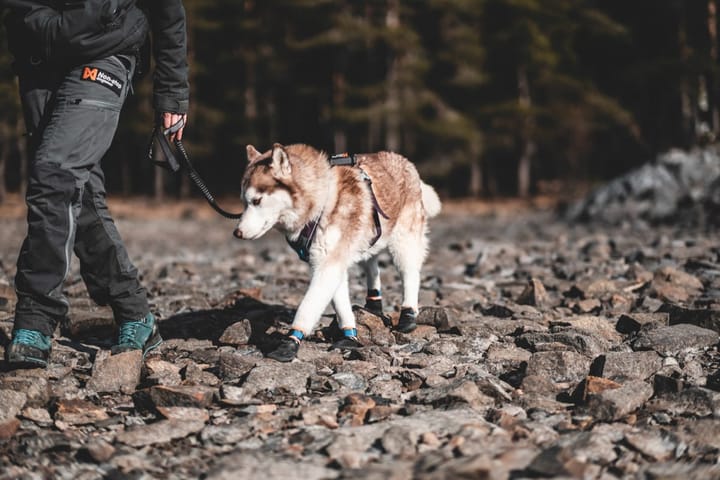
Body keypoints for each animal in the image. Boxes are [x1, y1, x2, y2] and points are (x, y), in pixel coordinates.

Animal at [233, 142, 442, 360]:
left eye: (256, 200)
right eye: (243, 202)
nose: (237, 232)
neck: (321, 201)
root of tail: (405, 161)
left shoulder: (329, 264)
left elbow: (307, 307)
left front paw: (291, 341)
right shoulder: (328, 261)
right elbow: (341, 305)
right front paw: (350, 336)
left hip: (403, 243)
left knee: (410, 274)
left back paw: (408, 315)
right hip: (370, 239)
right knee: (372, 266)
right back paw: (373, 304)